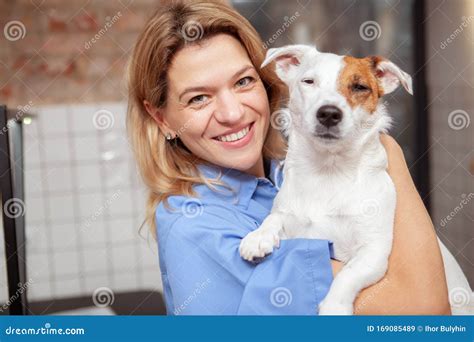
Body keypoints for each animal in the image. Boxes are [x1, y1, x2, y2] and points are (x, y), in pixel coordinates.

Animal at [241, 44, 412, 316]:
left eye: (359, 87)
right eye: (309, 81)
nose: (329, 113)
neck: (327, 170)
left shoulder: (373, 251)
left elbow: (347, 274)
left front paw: (334, 306)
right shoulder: (288, 214)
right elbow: (274, 217)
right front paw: (259, 236)